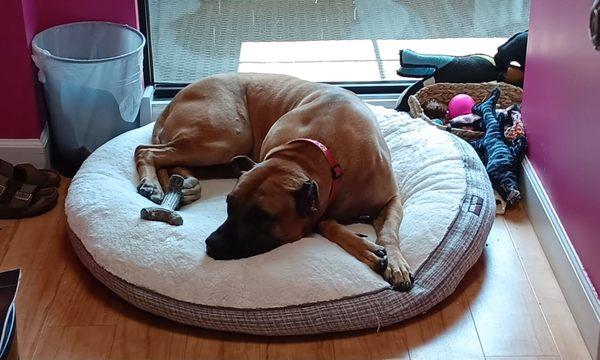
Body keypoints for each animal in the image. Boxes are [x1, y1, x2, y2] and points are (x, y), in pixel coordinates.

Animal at [136, 73, 412, 290]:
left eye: (261, 217)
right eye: (229, 205)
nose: (211, 243)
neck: (313, 155)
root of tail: (172, 101)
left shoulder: (391, 200)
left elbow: (389, 231)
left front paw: (396, 263)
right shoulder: (319, 205)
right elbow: (326, 223)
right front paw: (364, 247)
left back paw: (183, 184)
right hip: (224, 138)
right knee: (146, 150)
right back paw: (153, 183)